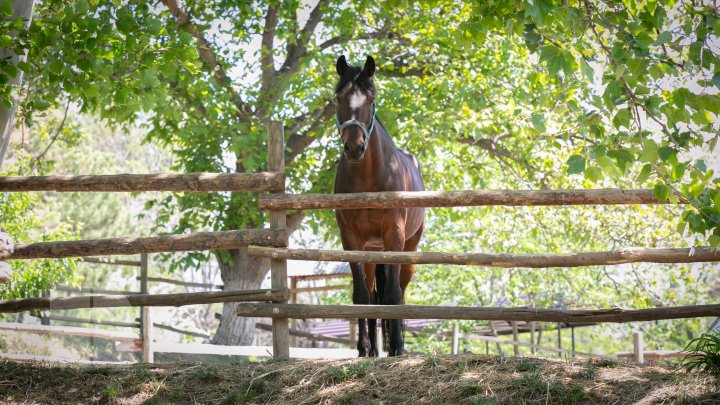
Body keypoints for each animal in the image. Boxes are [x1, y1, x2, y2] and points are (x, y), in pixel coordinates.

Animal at [334, 54, 424, 356]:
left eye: (371, 98)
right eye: (338, 97)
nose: (354, 148)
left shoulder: (394, 235)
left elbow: (393, 295)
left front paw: (396, 346)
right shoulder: (351, 239)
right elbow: (362, 295)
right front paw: (363, 348)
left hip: (408, 248)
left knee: (400, 291)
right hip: (371, 250)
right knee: (373, 293)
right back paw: (373, 348)